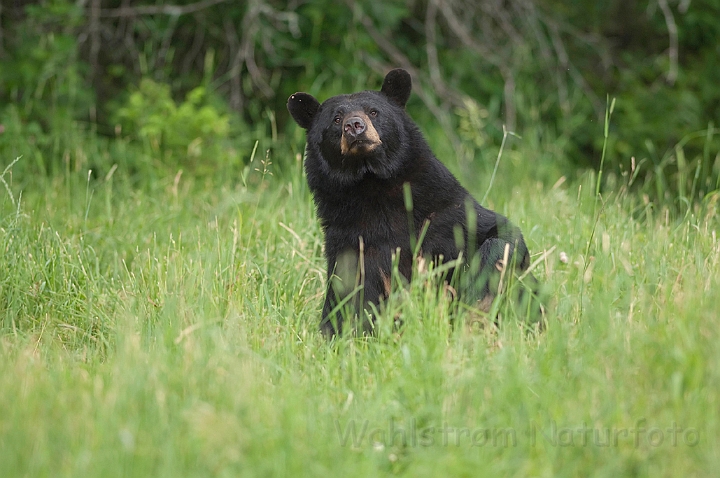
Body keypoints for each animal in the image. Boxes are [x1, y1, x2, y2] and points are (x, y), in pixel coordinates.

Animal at [290, 68, 536, 336]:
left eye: (374, 111)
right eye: (336, 119)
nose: (354, 126)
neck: (372, 186)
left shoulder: (443, 213)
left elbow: (499, 234)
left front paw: (474, 298)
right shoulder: (348, 238)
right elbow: (346, 297)